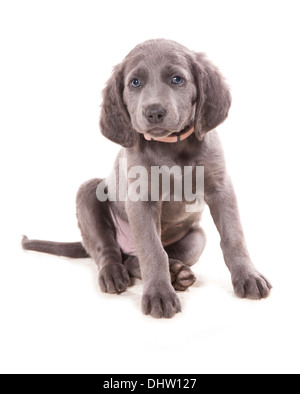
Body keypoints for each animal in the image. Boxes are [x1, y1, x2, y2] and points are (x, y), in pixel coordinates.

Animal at [23, 39, 272, 318]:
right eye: (135, 82)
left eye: (177, 79)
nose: (154, 112)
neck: (173, 147)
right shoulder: (141, 200)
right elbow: (153, 251)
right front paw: (159, 295)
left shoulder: (221, 188)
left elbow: (233, 236)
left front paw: (248, 277)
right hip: (88, 191)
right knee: (109, 250)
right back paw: (115, 274)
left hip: (196, 238)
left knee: (138, 258)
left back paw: (177, 272)